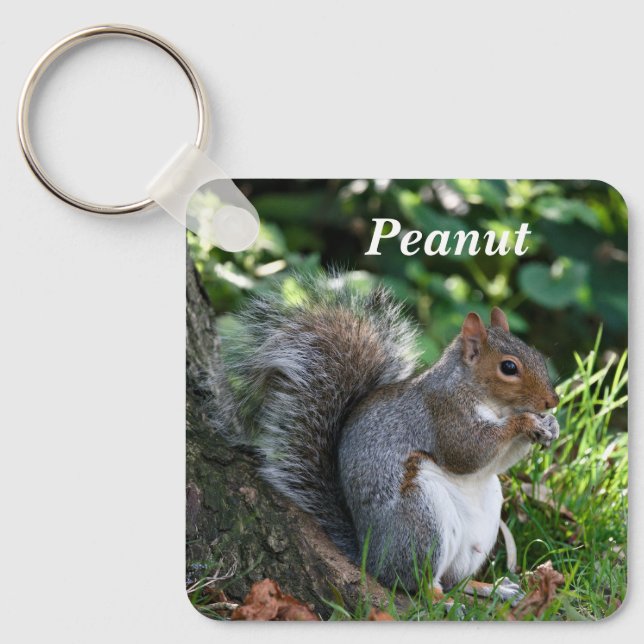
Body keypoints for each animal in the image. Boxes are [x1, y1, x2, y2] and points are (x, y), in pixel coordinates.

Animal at [213, 272, 560, 598]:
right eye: (509, 367)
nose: (552, 401)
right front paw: (526, 422)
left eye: (536, 354)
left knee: (454, 580)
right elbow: (468, 452)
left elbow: (496, 463)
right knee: (421, 585)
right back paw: (447, 600)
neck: (490, 401)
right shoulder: (443, 414)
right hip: (421, 521)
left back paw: (491, 588)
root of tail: (372, 557)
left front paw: (551, 425)